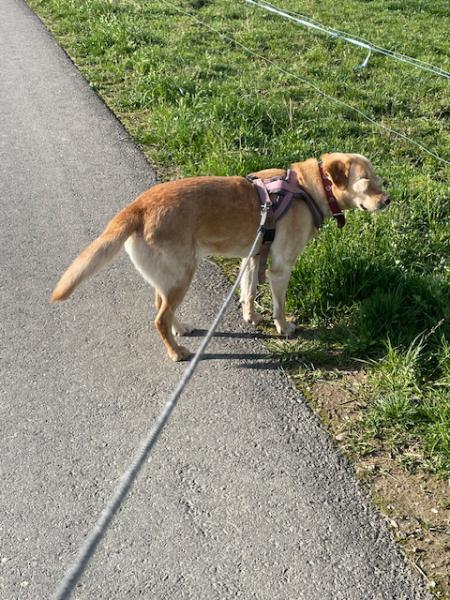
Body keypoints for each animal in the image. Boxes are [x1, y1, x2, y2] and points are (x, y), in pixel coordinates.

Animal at [51, 153, 390, 361]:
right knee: (159, 318)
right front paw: (284, 328)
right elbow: (279, 306)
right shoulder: (281, 268)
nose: (388, 199)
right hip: (182, 275)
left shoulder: (253, 257)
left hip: (169, 277)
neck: (309, 187)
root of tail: (136, 208)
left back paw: (180, 330)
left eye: (379, 178)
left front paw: (251, 317)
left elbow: (249, 292)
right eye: (366, 180)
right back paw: (176, 351)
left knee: (161, 307)